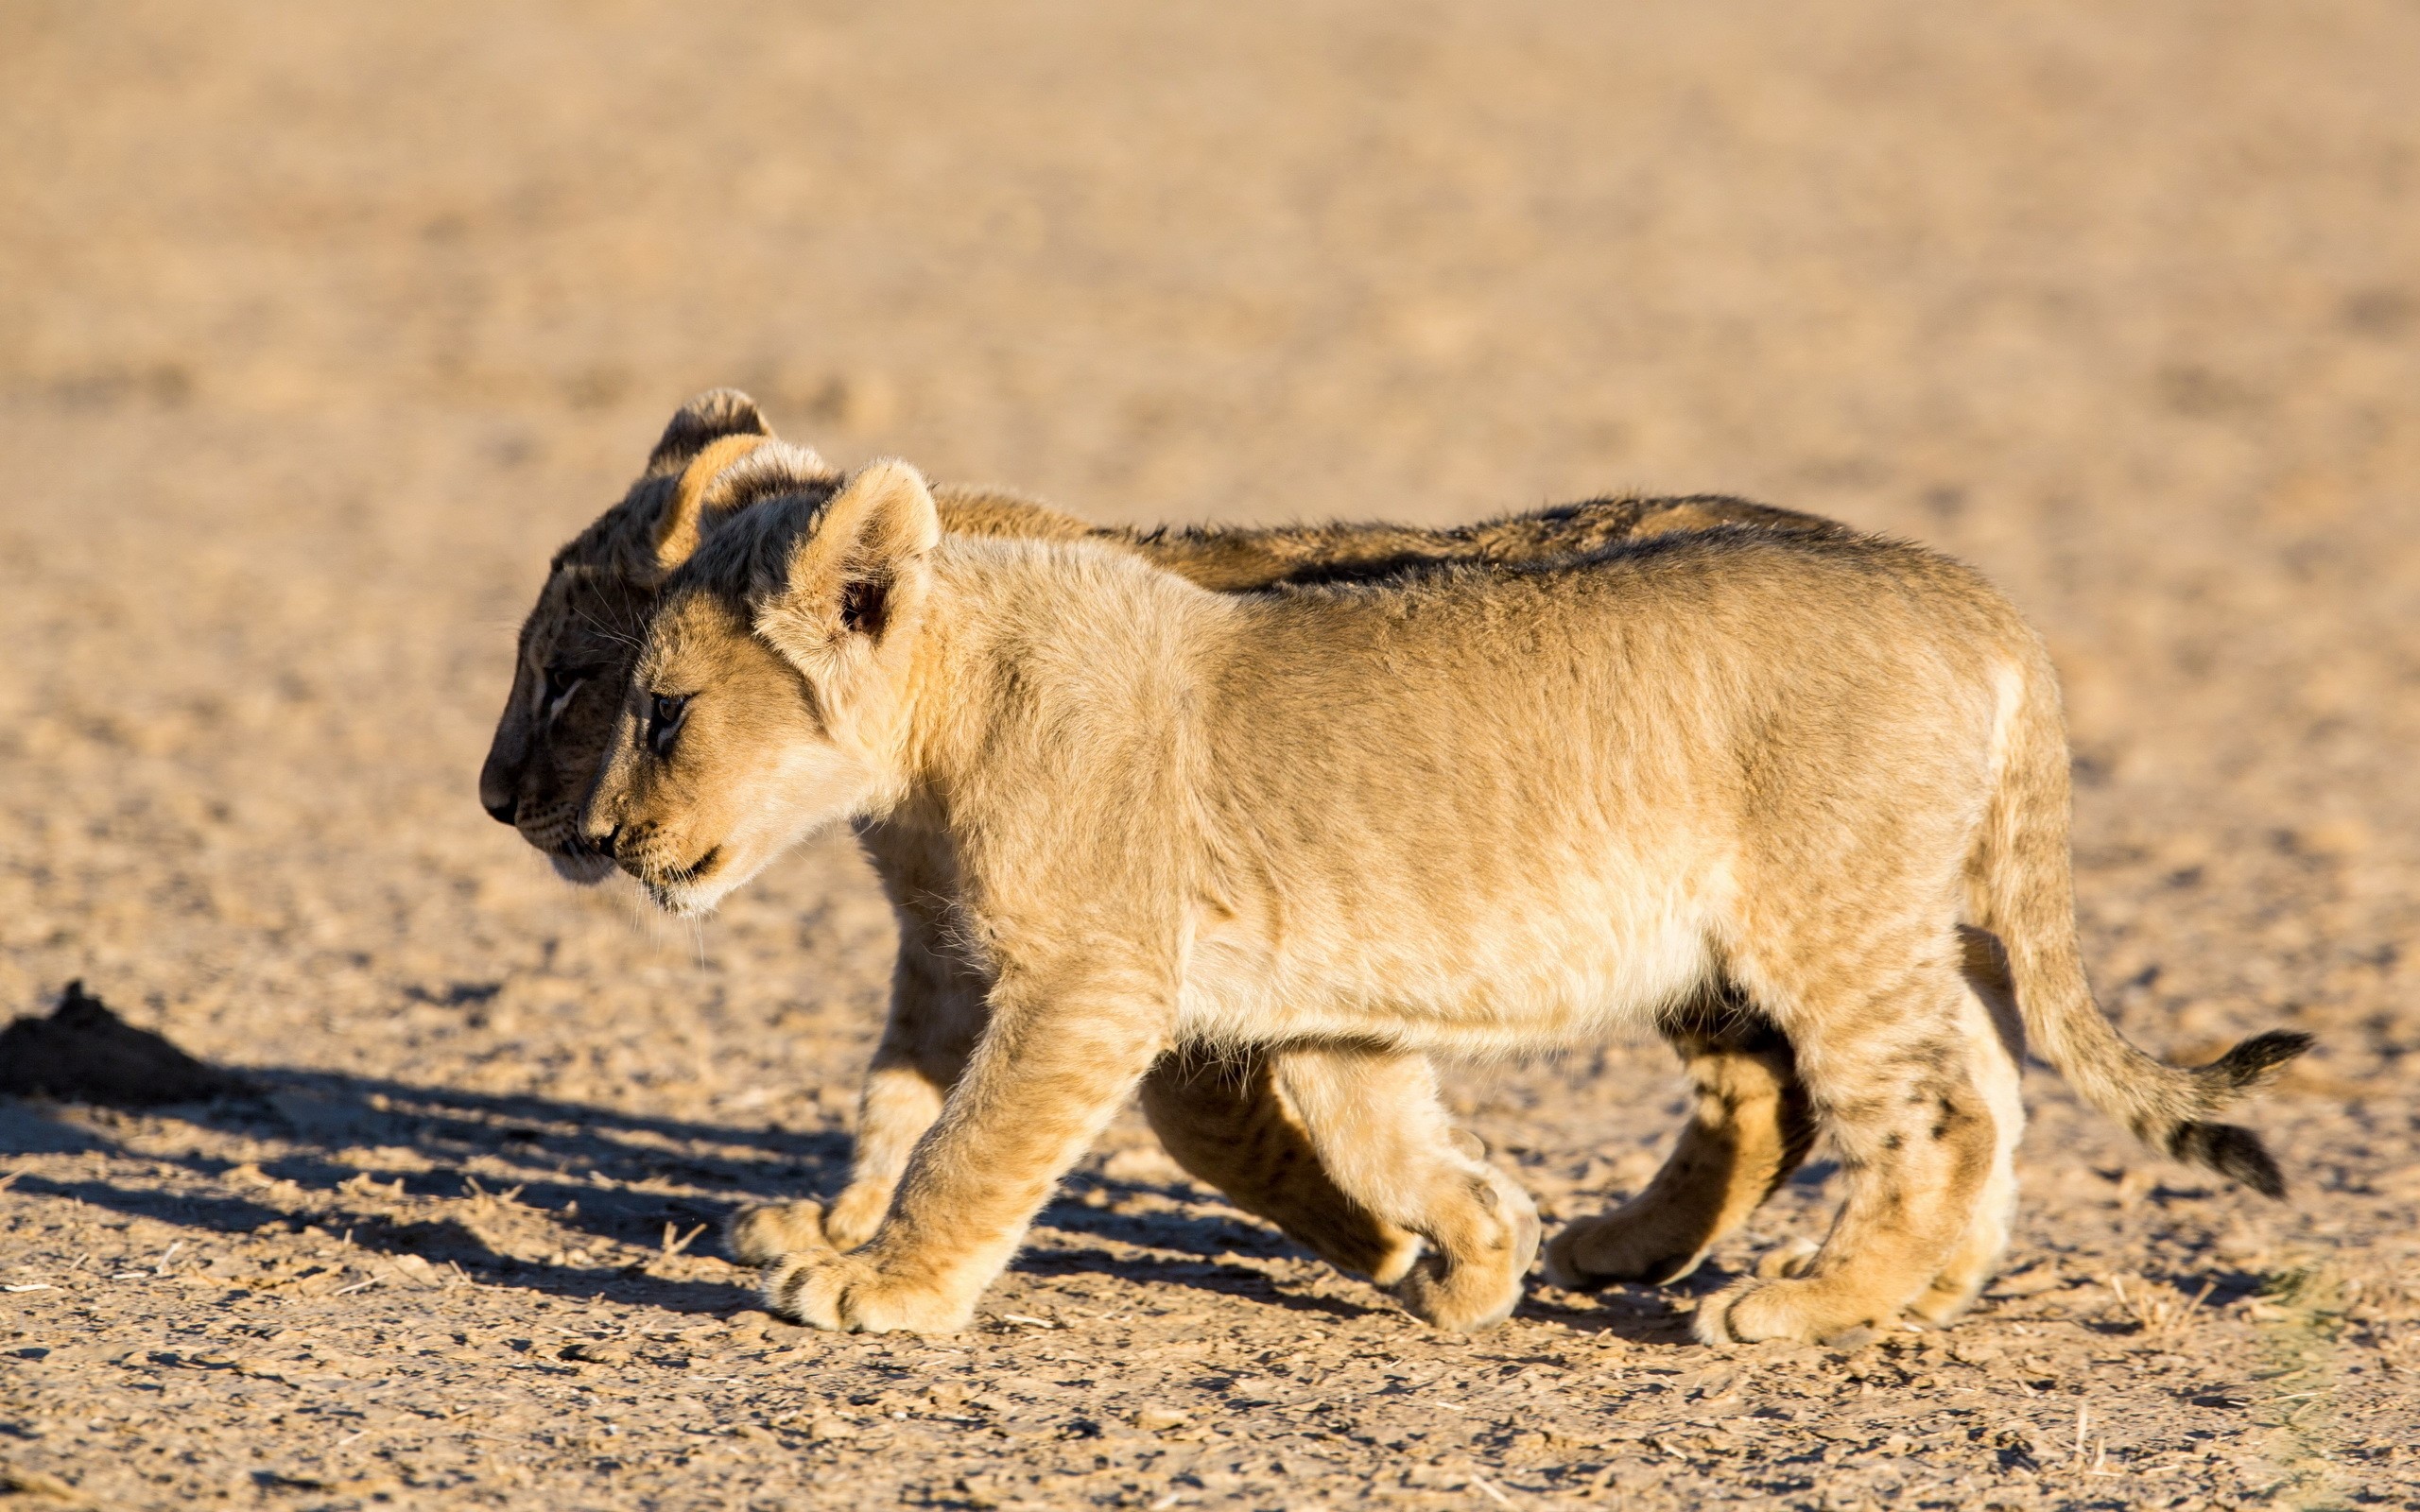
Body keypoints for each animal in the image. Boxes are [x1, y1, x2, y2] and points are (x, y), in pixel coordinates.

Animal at [482, 391, 1877, 1304]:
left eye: (574, 679)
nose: (501, 803)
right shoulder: (947, 949)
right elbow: (899, 1100)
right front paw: (834, 1231)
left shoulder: (1147, 959)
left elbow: (1180, 1122)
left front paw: (1381, 1243)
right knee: (1770, 1091)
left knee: (1793, 1082)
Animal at [576, 443, 2308, 1343]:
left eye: (661, 709)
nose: (609, 841)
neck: (956, 699)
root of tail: (1979, 600)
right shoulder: (1322, 1006)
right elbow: (1389, 1140)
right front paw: (1476, 1262)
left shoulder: (1090, 983)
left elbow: (971, 1141)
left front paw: (879, 1284)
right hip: (1901, 909)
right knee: (1987, 1086)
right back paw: (1914, 1289)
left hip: (1826, 911)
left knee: (1935, 1105)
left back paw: (1807, 1305)